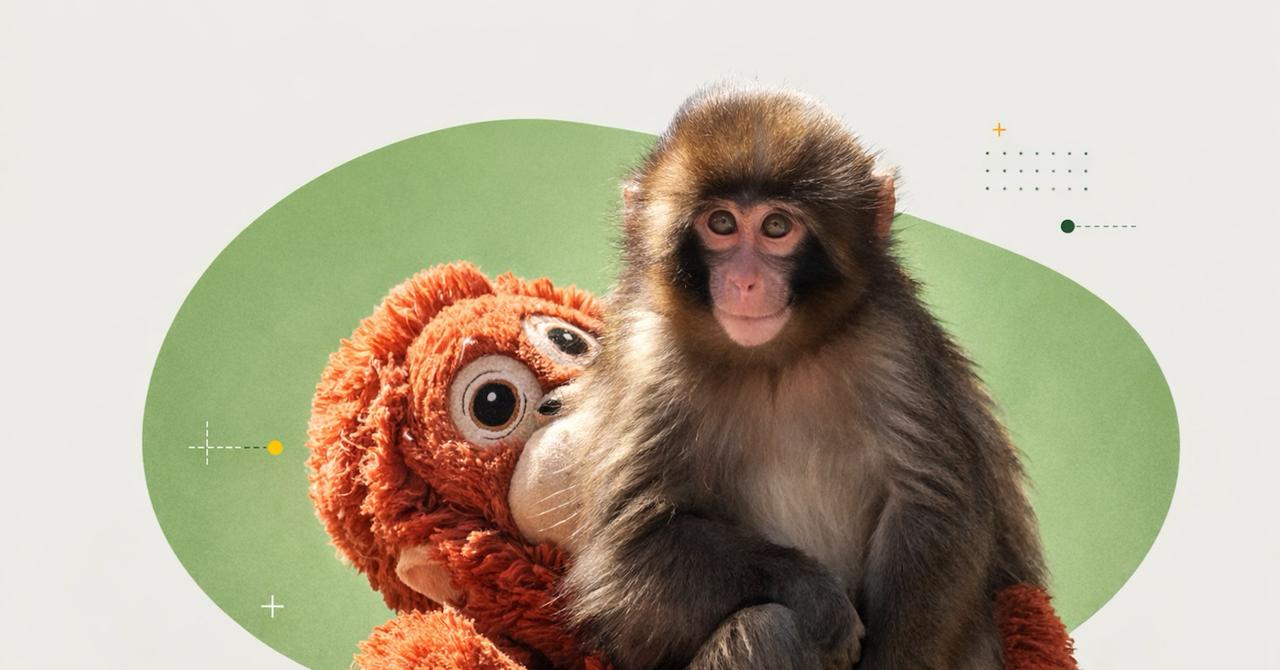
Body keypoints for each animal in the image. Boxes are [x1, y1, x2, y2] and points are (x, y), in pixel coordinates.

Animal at [556, 84, 1047, 670]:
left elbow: (934, 508)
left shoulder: (891, 342)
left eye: (776, 227)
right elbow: (630, 555)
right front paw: (815, 599)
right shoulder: (650, 363)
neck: (775, 361)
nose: (745, 282)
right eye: (721, 224)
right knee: (767, 628)